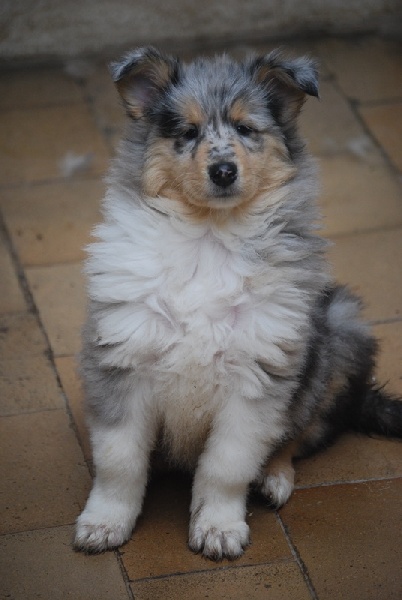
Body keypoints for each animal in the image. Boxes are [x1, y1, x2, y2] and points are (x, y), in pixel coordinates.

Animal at [74, 47, 402, 560]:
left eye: (247, 129)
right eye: (187, 132)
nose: (224, 171)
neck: (210, 234)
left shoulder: (256, 377)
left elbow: (226, 466)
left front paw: (219, 528)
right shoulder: (122, 359)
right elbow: (119, 460)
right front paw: (105, 523)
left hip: (340, 331)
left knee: (298, 435)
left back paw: (274, 478)